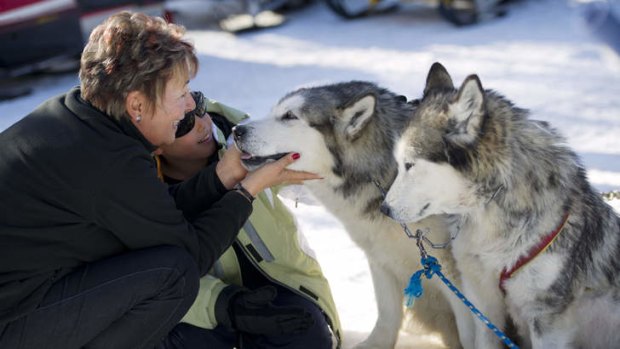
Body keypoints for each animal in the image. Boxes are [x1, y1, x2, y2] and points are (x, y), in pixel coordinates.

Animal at [230, 81, 472, 348]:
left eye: (289, 116)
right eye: (274, 112)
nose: (236, 130)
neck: (382, 175)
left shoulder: (455, 273)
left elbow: (470, 331)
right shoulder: (380, 258)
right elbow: (387, 315)